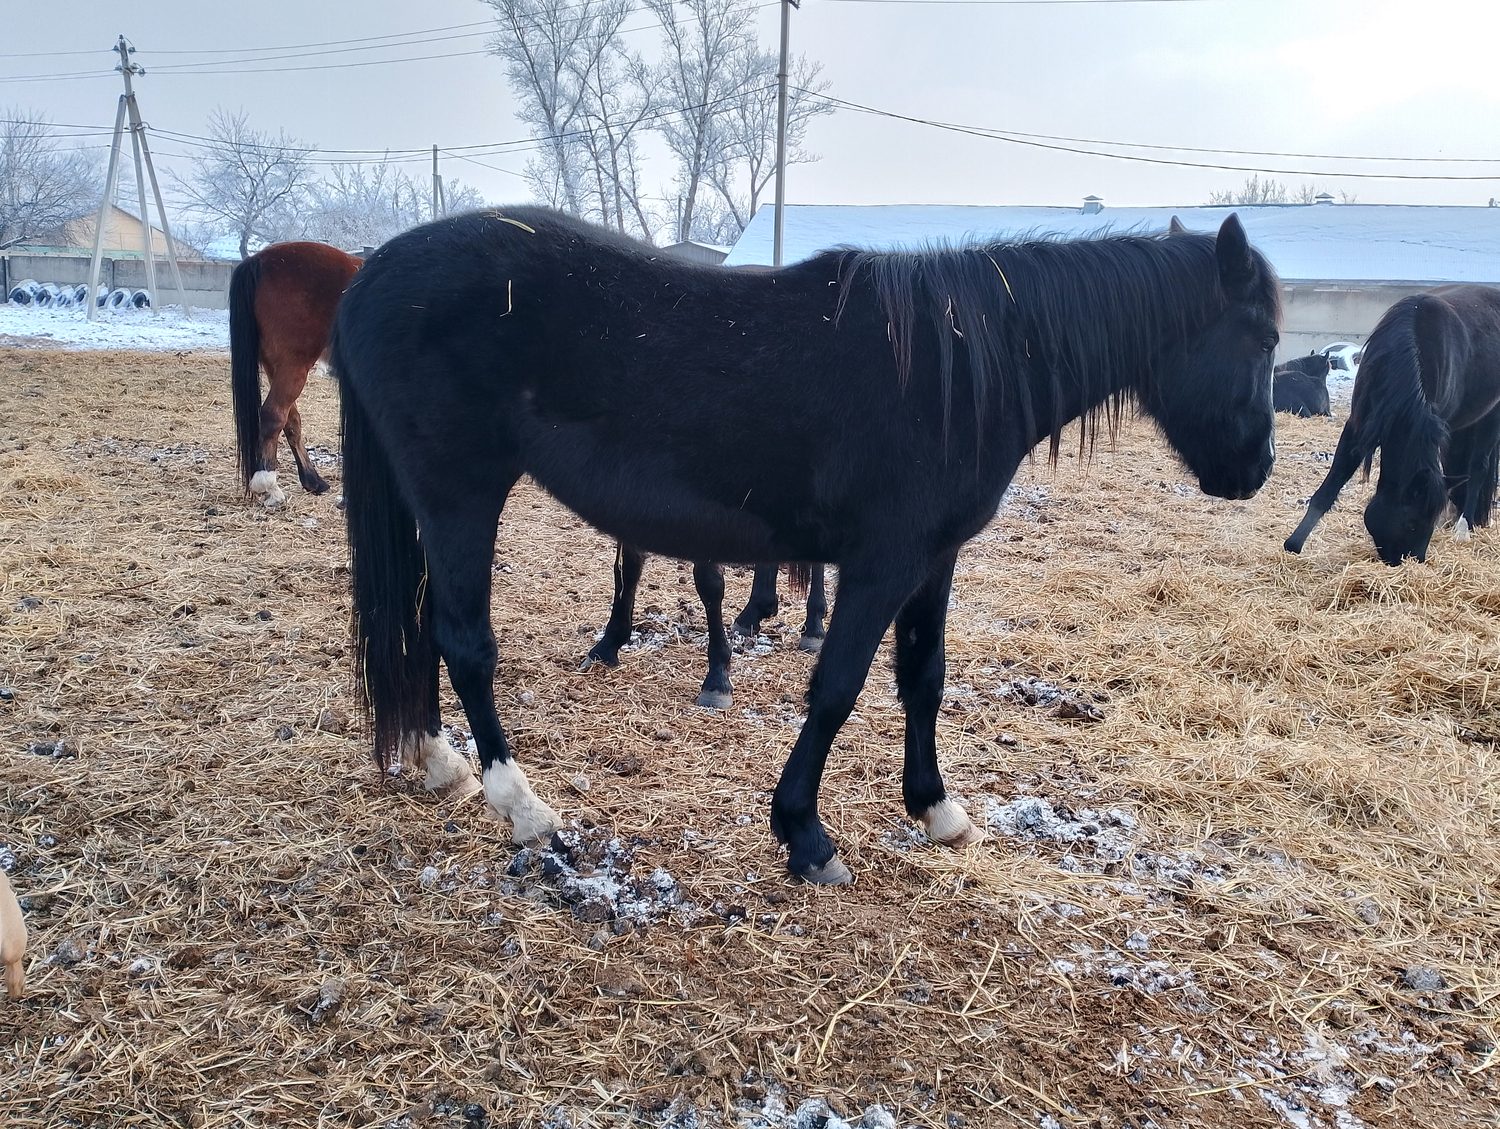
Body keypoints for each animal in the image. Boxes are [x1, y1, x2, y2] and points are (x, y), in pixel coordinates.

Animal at [229, 241, 362, 507]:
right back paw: (268, 485)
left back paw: (312, 480)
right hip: (293, 365)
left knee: (290, 420)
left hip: (277, 367)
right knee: (273, 416)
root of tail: (258, 260)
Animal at [332, 206, 1279, 884]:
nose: (1257, 469)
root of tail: (370, 274)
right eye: (1265, 338)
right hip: (460, 490)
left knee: (419, 625)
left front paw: (936, 808)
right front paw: (805, 833)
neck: (955, 369)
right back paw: (520, 804)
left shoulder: (933, 561)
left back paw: (438, 761)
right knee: (463, 640)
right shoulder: (881, 564)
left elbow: (924, 678)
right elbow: (836, 689)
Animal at [1284, 285, 1500, 565]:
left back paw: (1464, 528)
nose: (1414, 561)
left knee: (1478, 468)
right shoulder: (1358, 427)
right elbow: (1330, 486)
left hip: (1491, 416)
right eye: (1412, 523)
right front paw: (1293, 545)